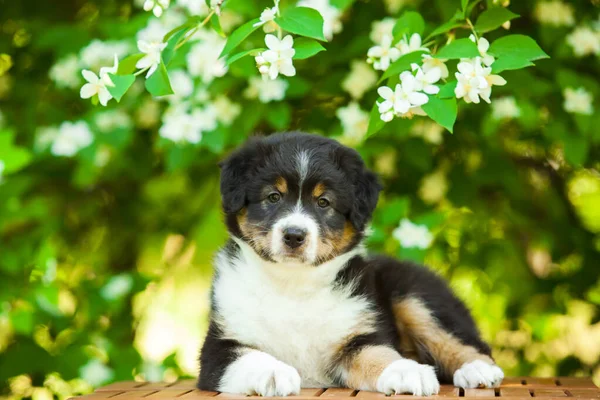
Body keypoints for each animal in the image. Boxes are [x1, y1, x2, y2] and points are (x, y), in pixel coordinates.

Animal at [199, 133, 504, 396]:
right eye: (273, 196)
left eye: (324, 202)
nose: (294, 235)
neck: (293, 284)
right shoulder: (218, 349)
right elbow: (250, 357)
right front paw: (275, 373)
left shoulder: (357, 336)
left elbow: (378, 353)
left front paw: (407, 371)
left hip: (414, 294)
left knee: (467, 343)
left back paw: (478, 370)